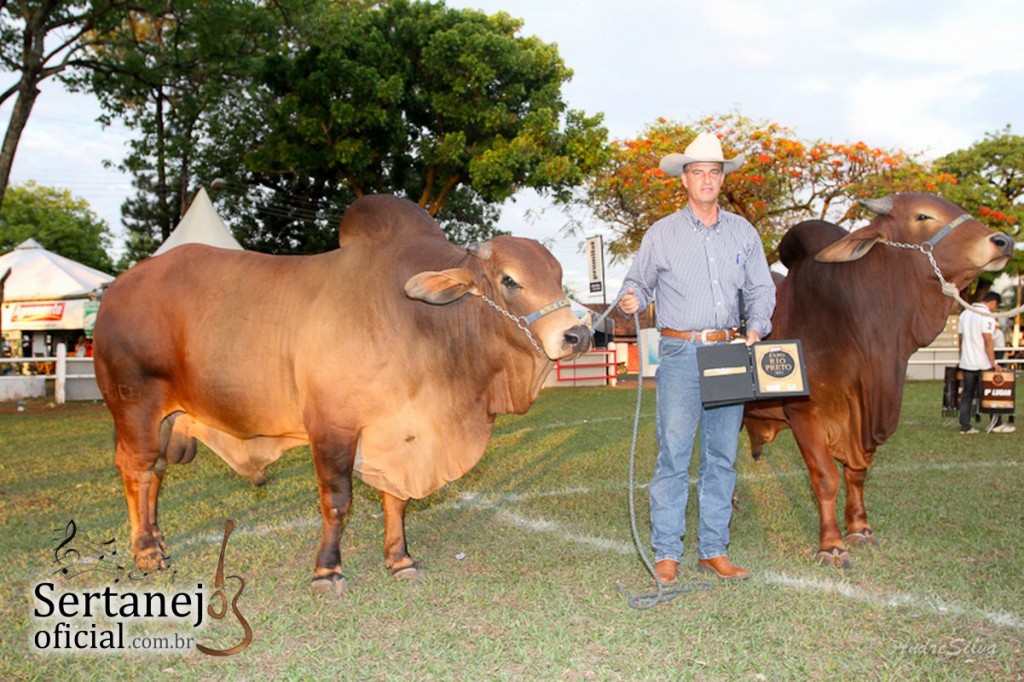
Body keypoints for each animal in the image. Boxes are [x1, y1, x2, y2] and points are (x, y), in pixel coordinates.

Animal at [97, 192, 593, 589]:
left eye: (558, 275)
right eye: (510, 280)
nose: (578, 335)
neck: (419, 321)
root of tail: (119, 286)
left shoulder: (399, 432)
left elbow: (396, 499)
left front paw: (399, 559)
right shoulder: (331, 426)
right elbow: (337, 501)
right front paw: (328, 570)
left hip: (167, 418)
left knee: (156, 472)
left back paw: (157, 539)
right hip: (134, 404)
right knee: (136, 470)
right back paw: (146, 552)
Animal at [745, 192, 1015, 569]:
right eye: (923, 216)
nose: (1004, 241)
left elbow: (856, 474)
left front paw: (860, 529)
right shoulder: (804, 413)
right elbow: (825, 478)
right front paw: (831, 546)